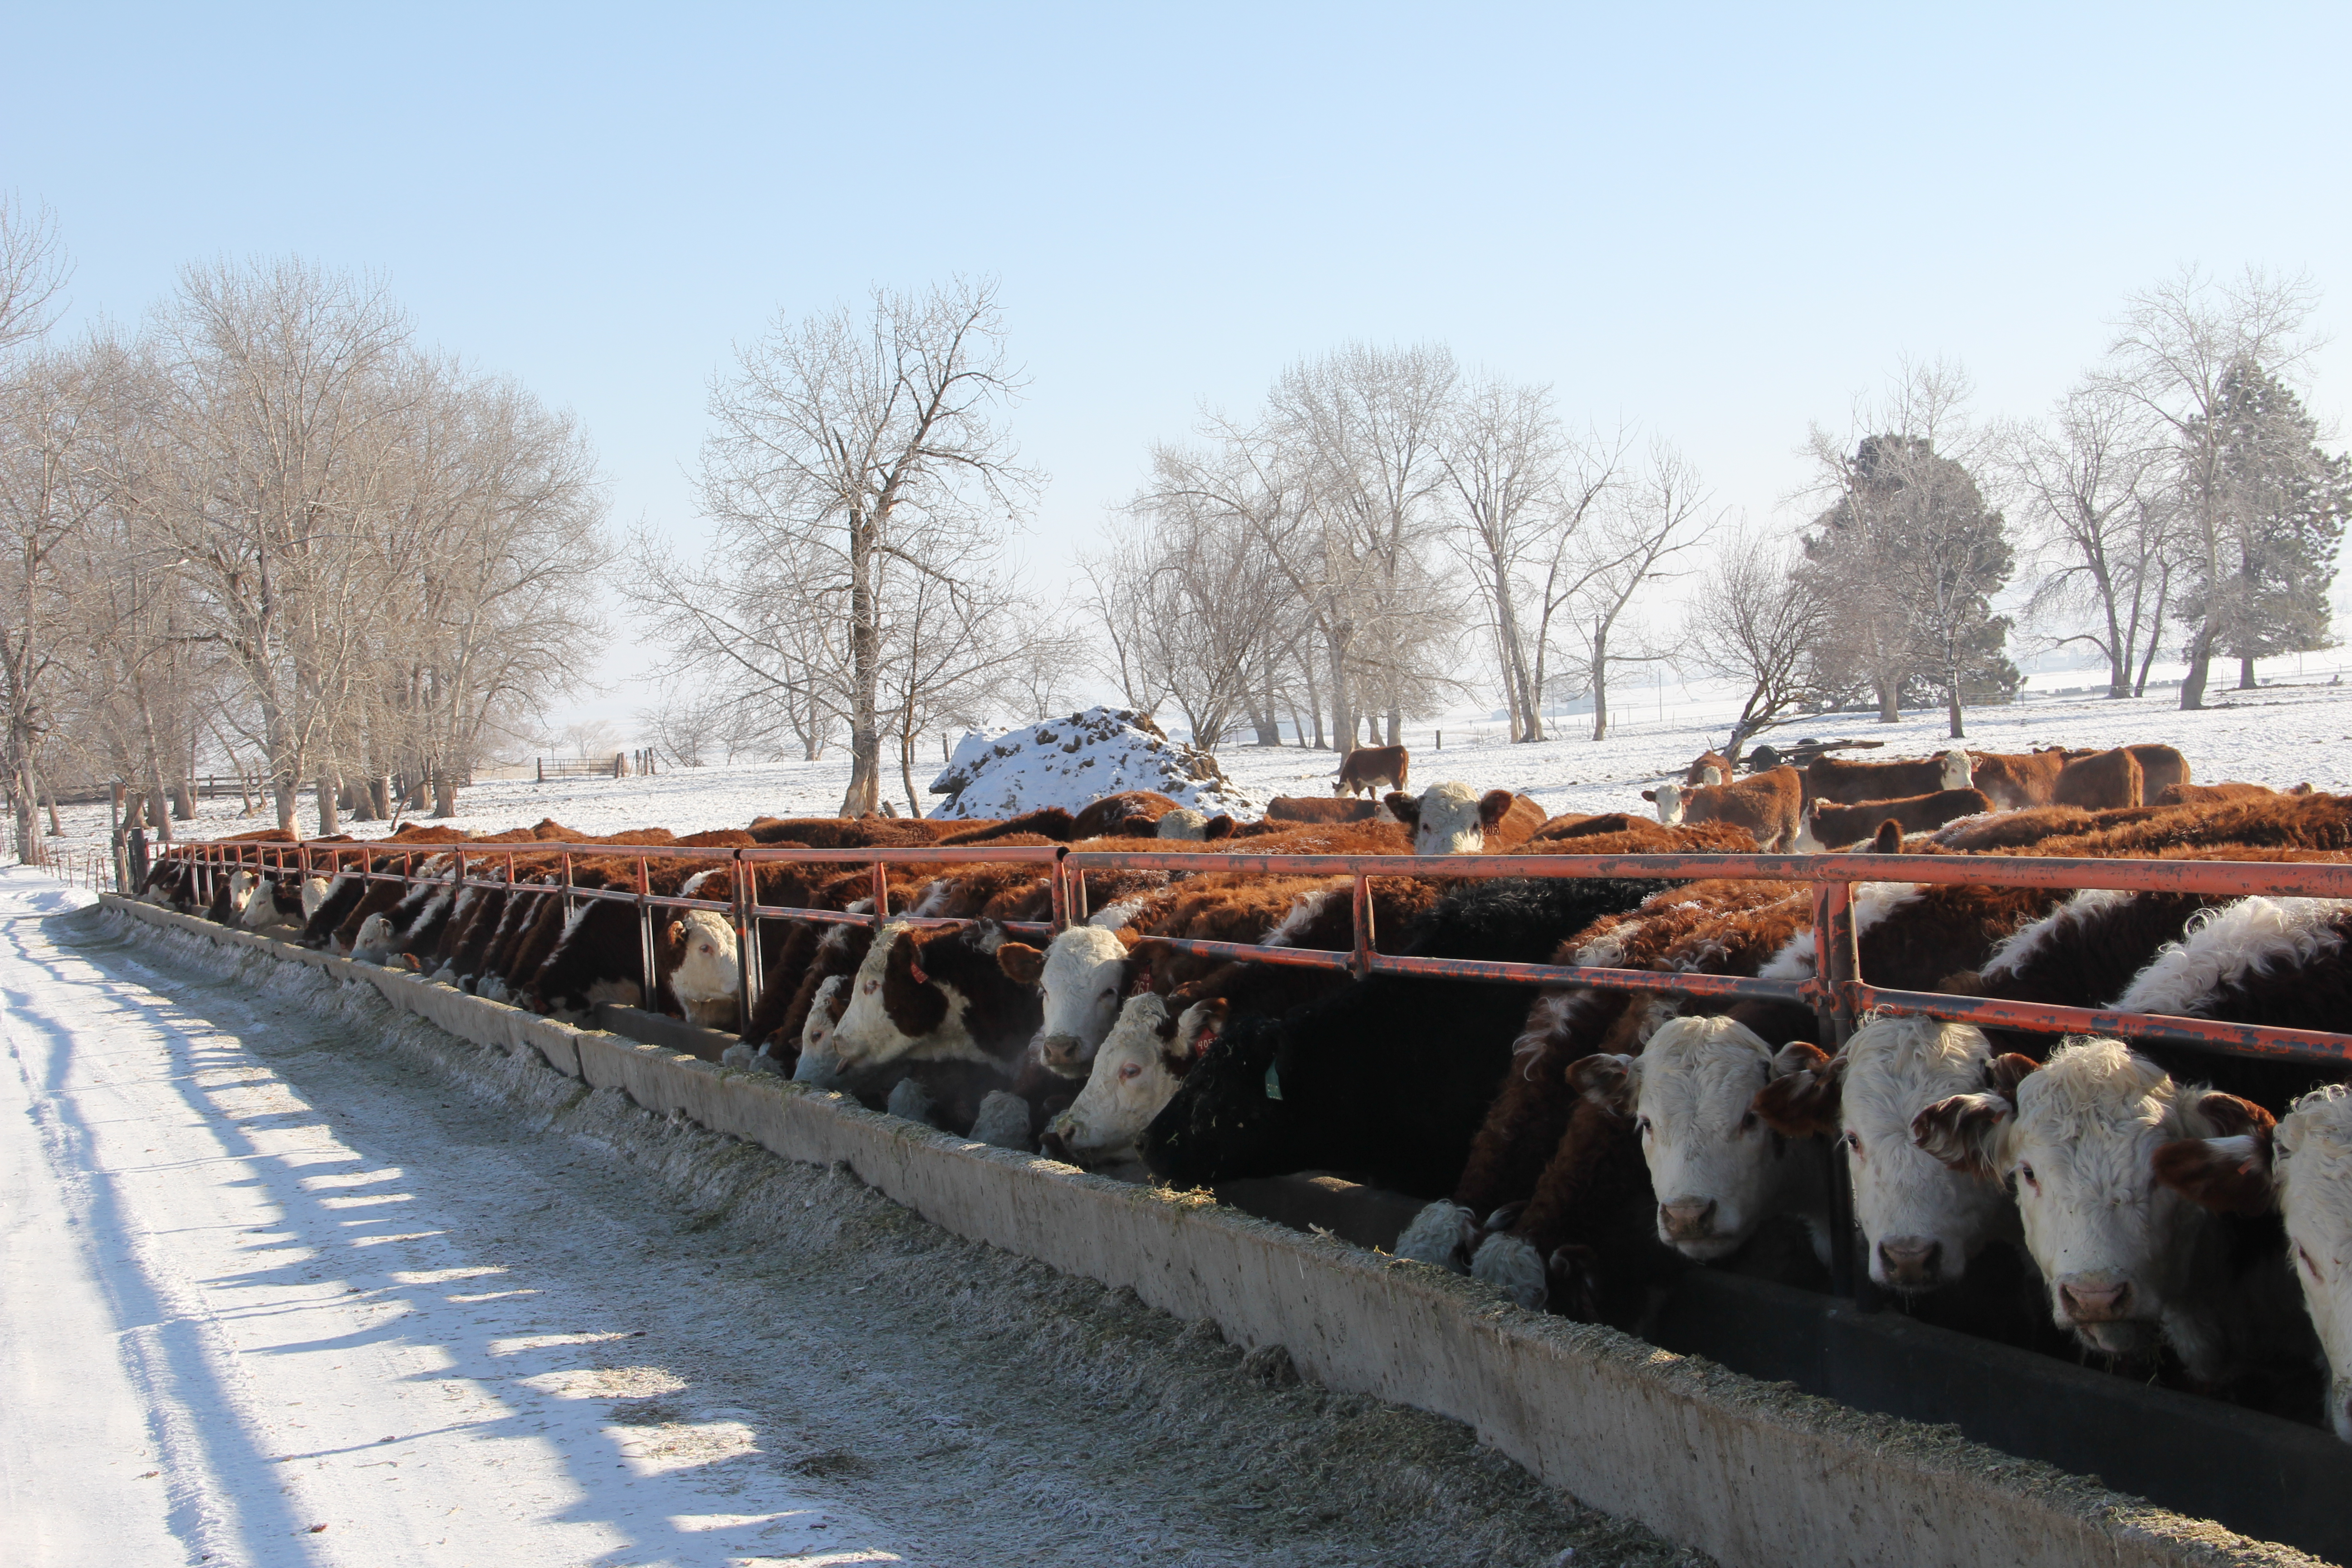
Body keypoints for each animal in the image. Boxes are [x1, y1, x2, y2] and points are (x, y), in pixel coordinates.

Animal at [1336, 747, 1401, 799]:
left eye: (1336, 791)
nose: (1335, 798)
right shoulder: (1370, 783)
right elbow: (1373, 794)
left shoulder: (1355, 781)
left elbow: (1358, 795)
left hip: (1395, 779)